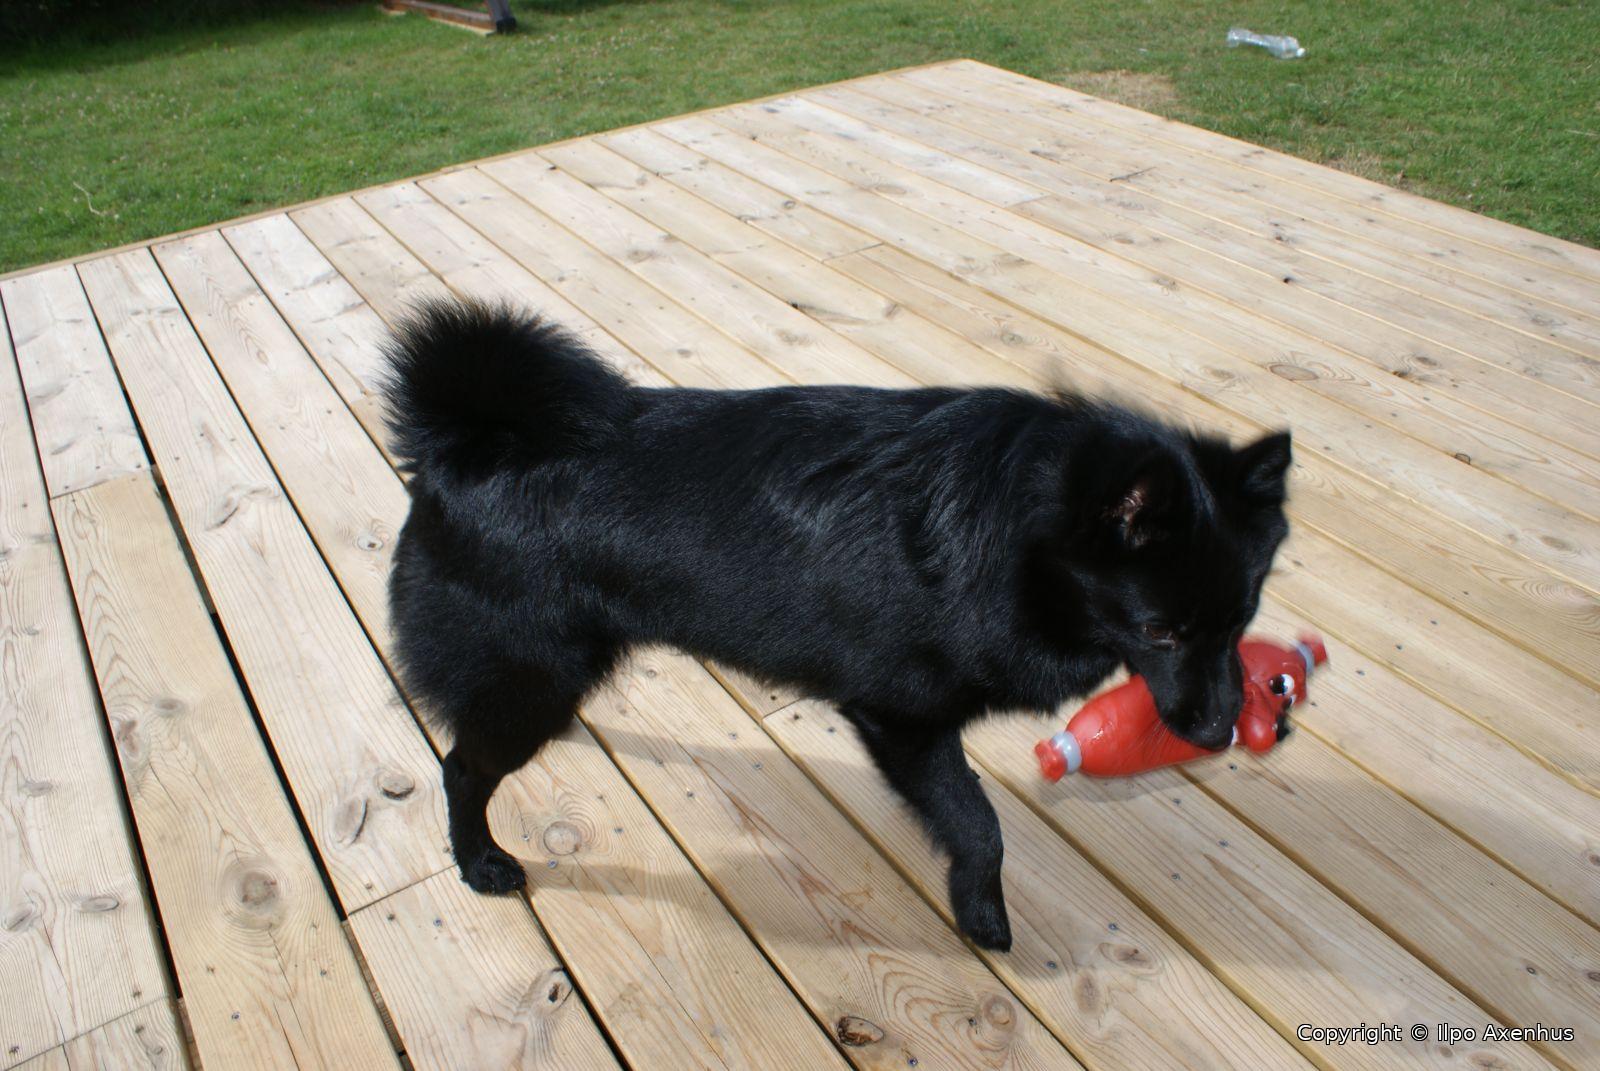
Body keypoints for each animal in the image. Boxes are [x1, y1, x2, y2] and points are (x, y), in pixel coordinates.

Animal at [383, 298, 1292, 951]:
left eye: (1239, 620)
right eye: (1163, 631)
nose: (1222, 729)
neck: (1012, 535)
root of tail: (466, 442)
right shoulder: (902, 718)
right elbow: (980, 824)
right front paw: (984, 917)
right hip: (530, 677)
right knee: (462, 768)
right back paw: (481, 862)